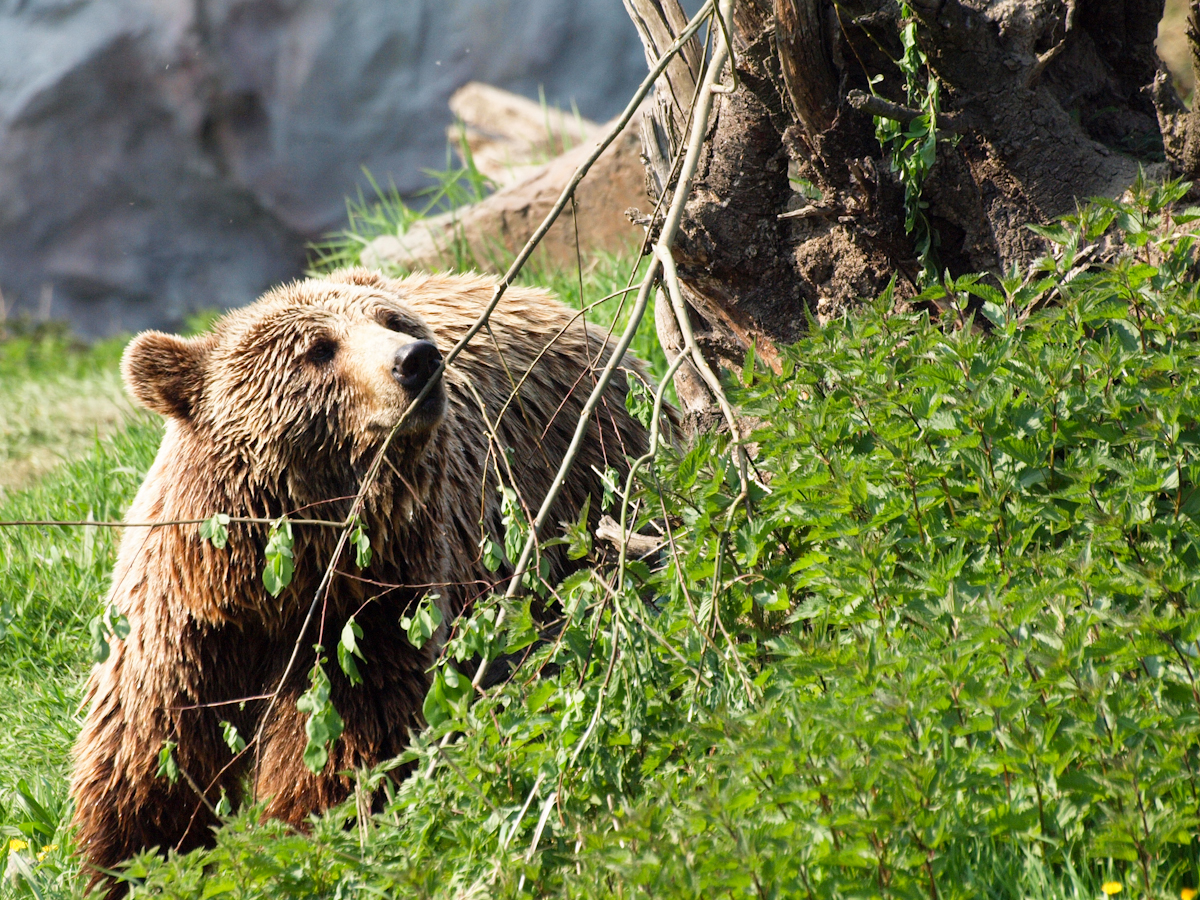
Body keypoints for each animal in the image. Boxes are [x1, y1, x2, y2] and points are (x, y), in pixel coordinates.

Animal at [68, 267, 657, 897]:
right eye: (318, 349)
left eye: (392, 321)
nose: (417, 359)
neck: (284, 570)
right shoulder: (187, 619)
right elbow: (150, 749)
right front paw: (130, 864)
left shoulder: (370, 605)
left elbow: (347, 740)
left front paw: (308, 838)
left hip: (585, 485)